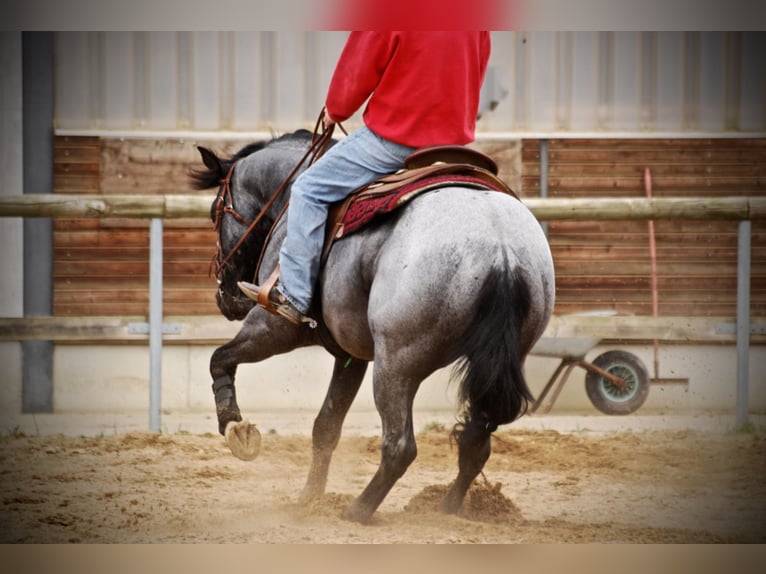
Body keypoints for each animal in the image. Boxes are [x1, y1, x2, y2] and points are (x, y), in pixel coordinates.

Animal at [190, 129, 555, 523]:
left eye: (214, 212)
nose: (223, 296)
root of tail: (501, 247)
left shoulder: (274, 327)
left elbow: (219, 358)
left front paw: (234, 426)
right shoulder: (350, 356)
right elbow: (326, 427)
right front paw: (309, 499)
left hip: (396, 365)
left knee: (400, 446)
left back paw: (359, 510)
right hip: (492, 362)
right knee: (475, 442)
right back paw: (445, 509)